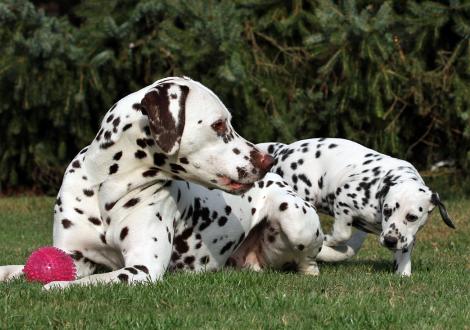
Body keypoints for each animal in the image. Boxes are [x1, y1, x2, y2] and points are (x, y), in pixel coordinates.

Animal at [0, 77, 280, 288]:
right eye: (219, 124)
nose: (268, 161)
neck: (107, 189)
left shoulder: (142, 268)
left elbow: (90, 281)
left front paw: (56, 284)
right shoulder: (75, 256)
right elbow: (18, 268)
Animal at [258, 138, 456, 274]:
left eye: (412, 217)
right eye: (387, 211)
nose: (390, 240)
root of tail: (283, 149)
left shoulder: (406, 239)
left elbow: (404, 258)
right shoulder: (343, 199)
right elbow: (342, 234)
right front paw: (327, 242)